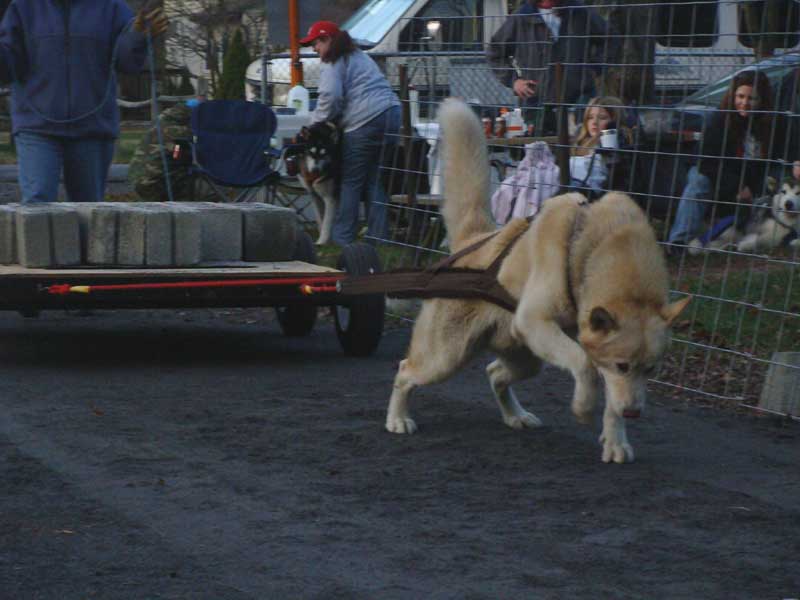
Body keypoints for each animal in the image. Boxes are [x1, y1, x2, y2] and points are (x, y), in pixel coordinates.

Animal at [384, 99, 692, 464]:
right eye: (622, 365)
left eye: (651, 370)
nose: (634, 413)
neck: (598, 245)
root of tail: (477, 241)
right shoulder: (538, 322)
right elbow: (584, 364)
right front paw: (584, 408)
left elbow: (607, 394)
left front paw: (615, 439)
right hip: (446, 357)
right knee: (405, 370)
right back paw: (397, 418)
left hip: (527, 358)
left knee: (495, 373)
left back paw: (514, 415)